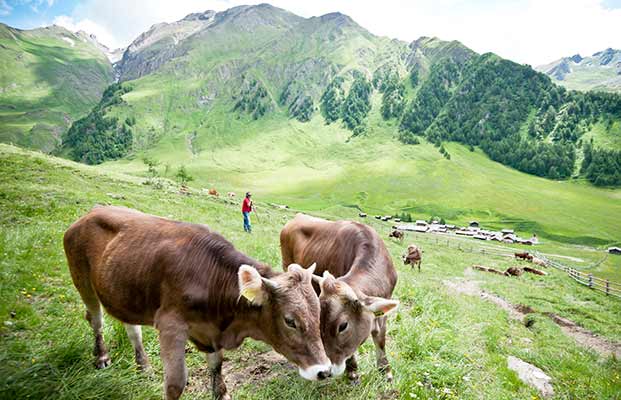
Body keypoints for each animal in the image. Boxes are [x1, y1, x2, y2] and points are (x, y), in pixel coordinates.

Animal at [64, 206, 330, 400]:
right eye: (290, 321)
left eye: (318, 314)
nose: (324, 371)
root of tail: (91, 211)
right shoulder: (170, 325)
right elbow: (175, 384)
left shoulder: (209, 332)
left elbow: (217, 367)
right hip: (82, 281)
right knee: (95, 319)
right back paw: (101, 357)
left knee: (132, 328)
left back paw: (144, 366)